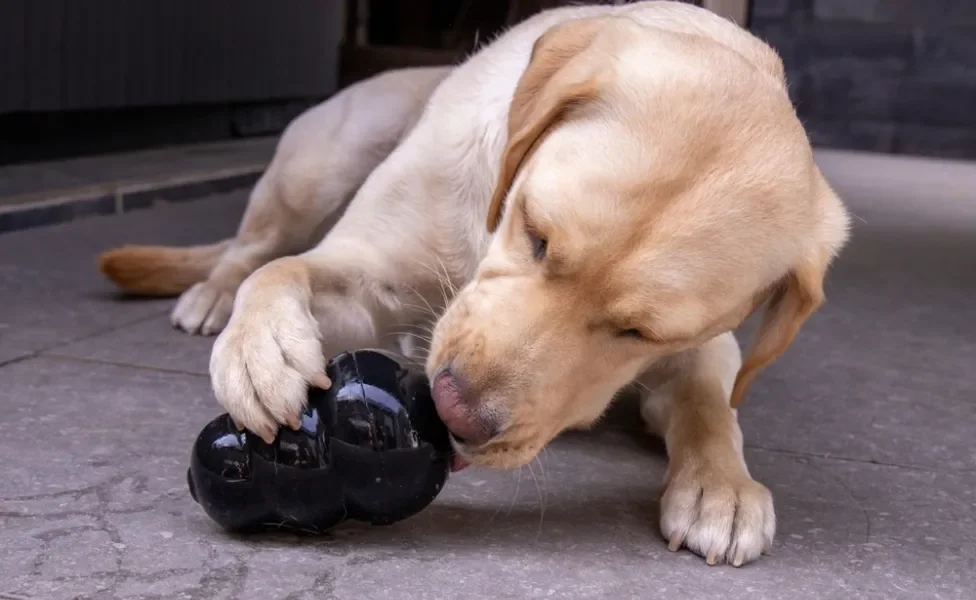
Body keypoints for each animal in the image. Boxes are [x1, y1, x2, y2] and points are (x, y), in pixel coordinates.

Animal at [101, 0, 848, 564]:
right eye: (536, 234)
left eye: (639, 331)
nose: (453, 412)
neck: (482, 235)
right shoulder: (363, 267)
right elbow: (283, 271)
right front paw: (262, 350)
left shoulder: (704, 348)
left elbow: (710, 404)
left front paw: (721, 485)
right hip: (322, 163)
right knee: (252, 248)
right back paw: (214, 294)